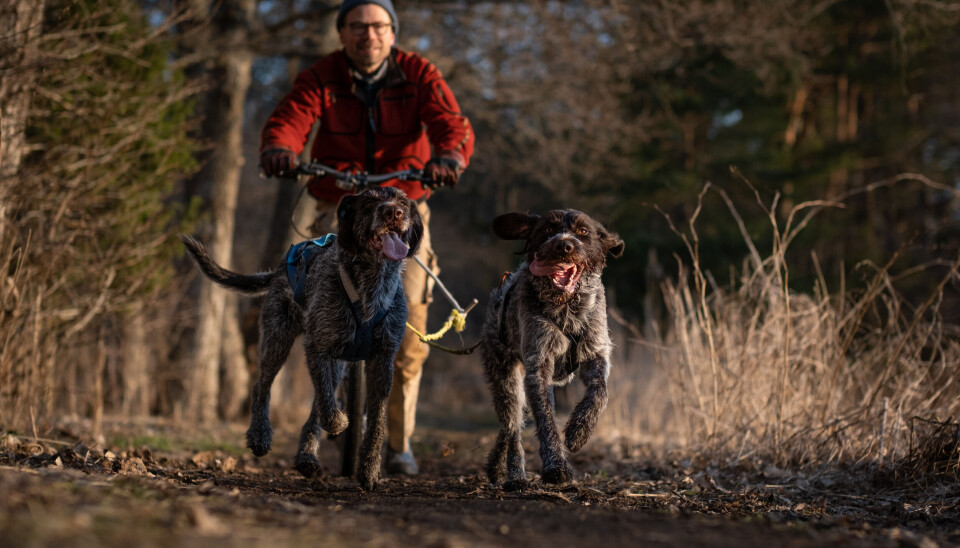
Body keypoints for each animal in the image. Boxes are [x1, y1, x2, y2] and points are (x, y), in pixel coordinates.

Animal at [180, 186, 420, 490]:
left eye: (402, 201)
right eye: (369, 201)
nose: (394, 212)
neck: (371, 283)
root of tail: (280, 267)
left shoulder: (382, 359)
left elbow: (376, 420)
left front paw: (369, 469)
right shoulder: (317, 347)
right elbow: (329, 410)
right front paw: (340, 424)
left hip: (336, 360)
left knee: (317, 403)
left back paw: (307, 456)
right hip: (279, 339)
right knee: (263, 386)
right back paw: (260, 435)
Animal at [478, 209, 624, 488]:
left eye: (582, 231)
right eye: (547, 229)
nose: (563, 245)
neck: (567, 307)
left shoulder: (596, 353)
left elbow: (600, 392)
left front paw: (580, 431)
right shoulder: (538, 367)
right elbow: (546, 423)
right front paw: (556, 467)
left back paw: (497, 467)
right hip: (506, 379)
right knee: (512, 428)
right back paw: (515, 476)